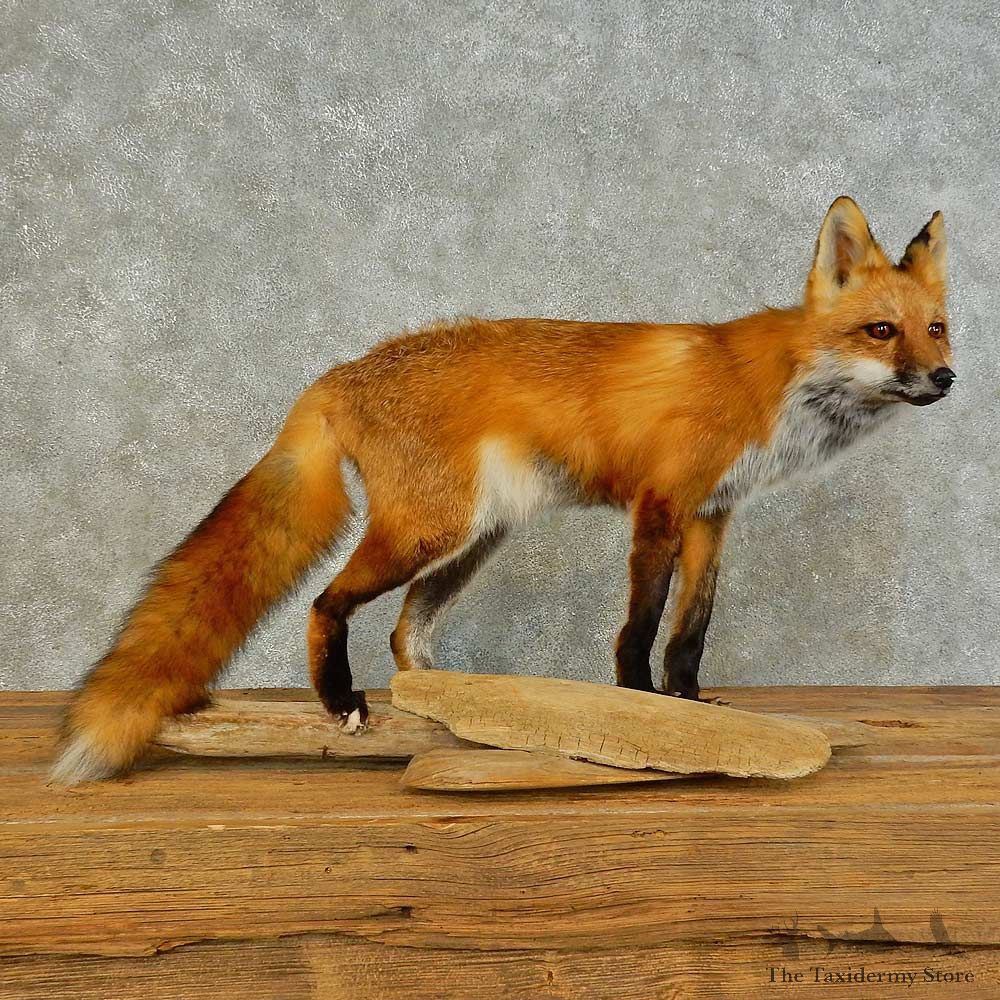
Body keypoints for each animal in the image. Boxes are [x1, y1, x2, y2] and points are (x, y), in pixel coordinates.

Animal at [51, 196, 953, 785]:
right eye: (881, 331)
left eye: (936, 328)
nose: (946, 378)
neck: (771, 387)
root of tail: (341, 371)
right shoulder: (661, 506)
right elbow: (641, 627)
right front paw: (641, 708)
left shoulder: (713, 516)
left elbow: (691, 629)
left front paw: (694, 704)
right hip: (429, 531)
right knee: (327, 604)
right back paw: (339, 699)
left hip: (472, 542)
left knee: (406, 638)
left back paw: (460, 702)